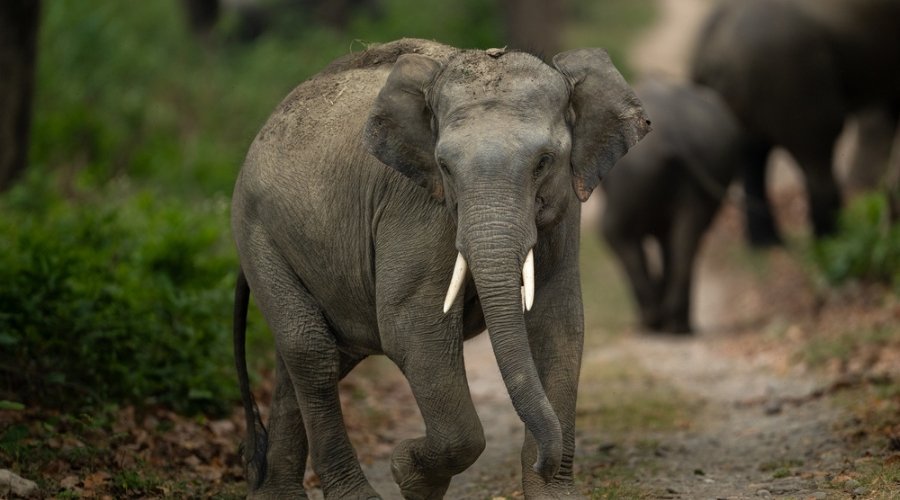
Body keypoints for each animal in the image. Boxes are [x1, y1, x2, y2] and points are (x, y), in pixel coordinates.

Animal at [231, 38, 649, 499]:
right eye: (445, 166)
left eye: (543, 162)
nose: (544, 460)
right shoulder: (414, 205)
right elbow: (412, 327)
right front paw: (408, 475)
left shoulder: (564, 205)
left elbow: (559, 323)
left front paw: (551, 493)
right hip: (257, 234)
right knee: (311, 350)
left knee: (313, 356)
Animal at [600, 80, 745, 334]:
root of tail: (674, 134)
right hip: (704, 174)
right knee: (685, 243)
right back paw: (678, 325)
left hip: (632, 177)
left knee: (615, 233)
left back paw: (653, 320)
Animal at [691, 0, 900, 245]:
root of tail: (708, 57)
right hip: (792, 76)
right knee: (817, 148)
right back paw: (833, 241)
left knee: (752, 153)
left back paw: (767, 243)